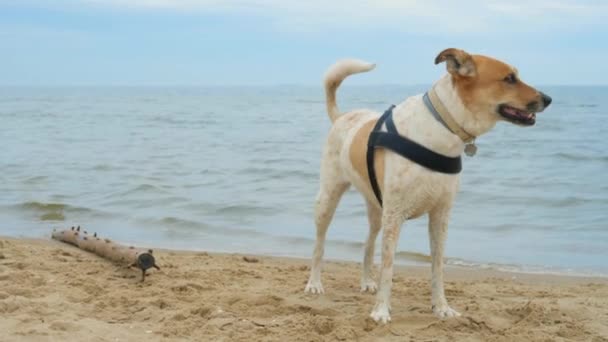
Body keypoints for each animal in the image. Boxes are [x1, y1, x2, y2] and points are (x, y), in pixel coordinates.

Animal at [304, 48, 552, 324]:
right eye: (509, 78)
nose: (548, 99)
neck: (440, 127)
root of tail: (342, 116)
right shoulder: (395, 216)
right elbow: (388, 267)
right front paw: (381, 310)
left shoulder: (440, 215)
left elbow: (438, 266)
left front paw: (441, 307)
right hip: (328, 198)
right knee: (319, 243)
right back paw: (314, 283)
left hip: (377, 207)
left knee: (368, 243)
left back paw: (367, 281)